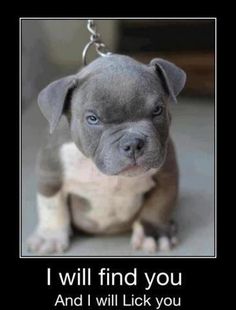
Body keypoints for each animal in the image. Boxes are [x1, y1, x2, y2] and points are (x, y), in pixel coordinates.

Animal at [27, 54, 186, 256]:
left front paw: (154, 234)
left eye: (158, 110)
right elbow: (51, 207)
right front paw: (50, 236)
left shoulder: (167, 176)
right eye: (93, 119)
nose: (133, 143)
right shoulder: (50, 176)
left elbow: (159, 205)